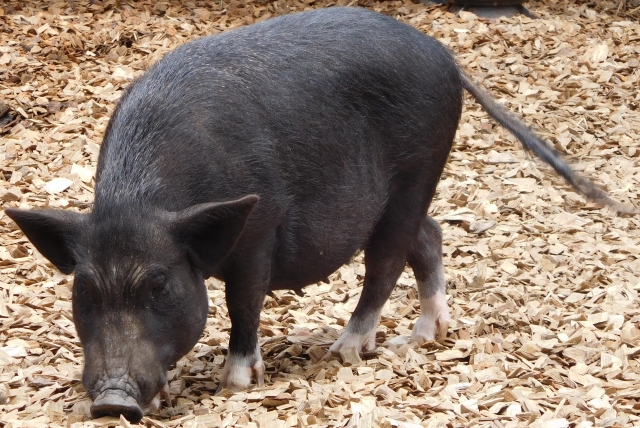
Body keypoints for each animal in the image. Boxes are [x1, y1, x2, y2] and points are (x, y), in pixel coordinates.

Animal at [3, 6, 632, 424]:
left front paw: (237, 384)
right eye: (84, 291)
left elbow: (245, 302)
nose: (111, 401)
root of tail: (446, 58)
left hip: (417, 170)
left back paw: (349, 349)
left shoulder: (260, 230)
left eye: (159, 285)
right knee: (428, 236)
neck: (143, 199)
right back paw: (425, 334)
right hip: (402, 196)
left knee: (386, 263)